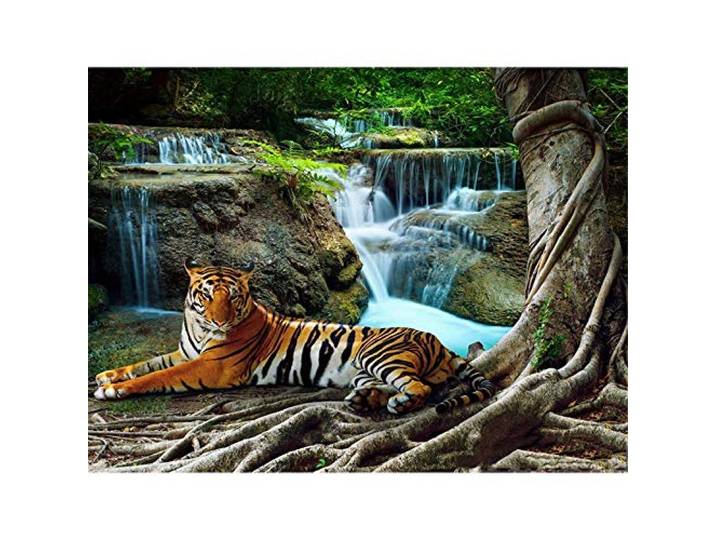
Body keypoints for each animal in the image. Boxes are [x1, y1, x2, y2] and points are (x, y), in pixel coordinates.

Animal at [94, 259, 498, 415]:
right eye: (206, 296)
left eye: (233, 297)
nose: (219, 321)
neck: (197, 327)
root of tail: (438, 341)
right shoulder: (185, 353)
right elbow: (148, 363)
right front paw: (108, 375)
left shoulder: (211, 367)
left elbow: (158, 376)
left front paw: (114, 390)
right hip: (365, 370)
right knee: (393, 385)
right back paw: (364, 400)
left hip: (379, 355)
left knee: (419, 387)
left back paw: (398, 403)